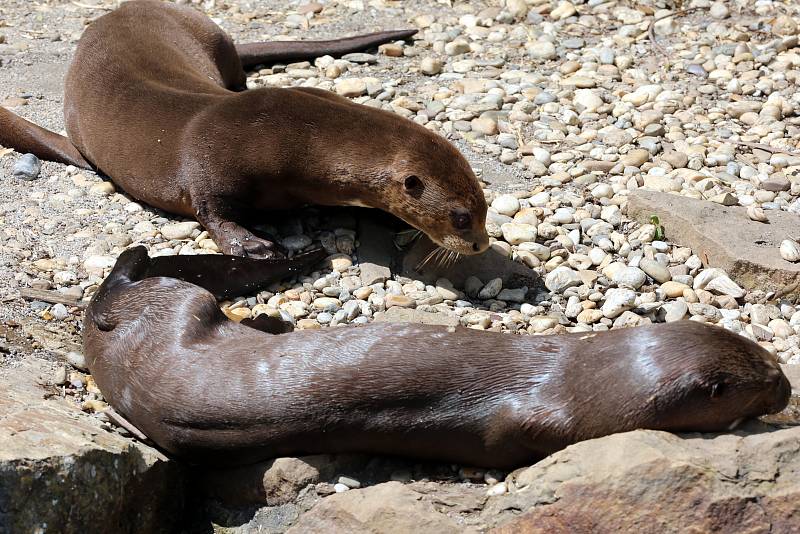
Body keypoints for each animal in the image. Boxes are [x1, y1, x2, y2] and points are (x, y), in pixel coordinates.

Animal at [0, 0, 490, 260]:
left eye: (484, 208)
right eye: (461, 217)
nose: (481, 245)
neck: (297, 134)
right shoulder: (214, 158)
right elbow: (209, 209)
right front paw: (254, 246)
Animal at [84, 247, 792, 468]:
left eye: (764, 354)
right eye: (757, 382)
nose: (787, 388)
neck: (569, 380)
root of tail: (102, 323)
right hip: (176, 310)